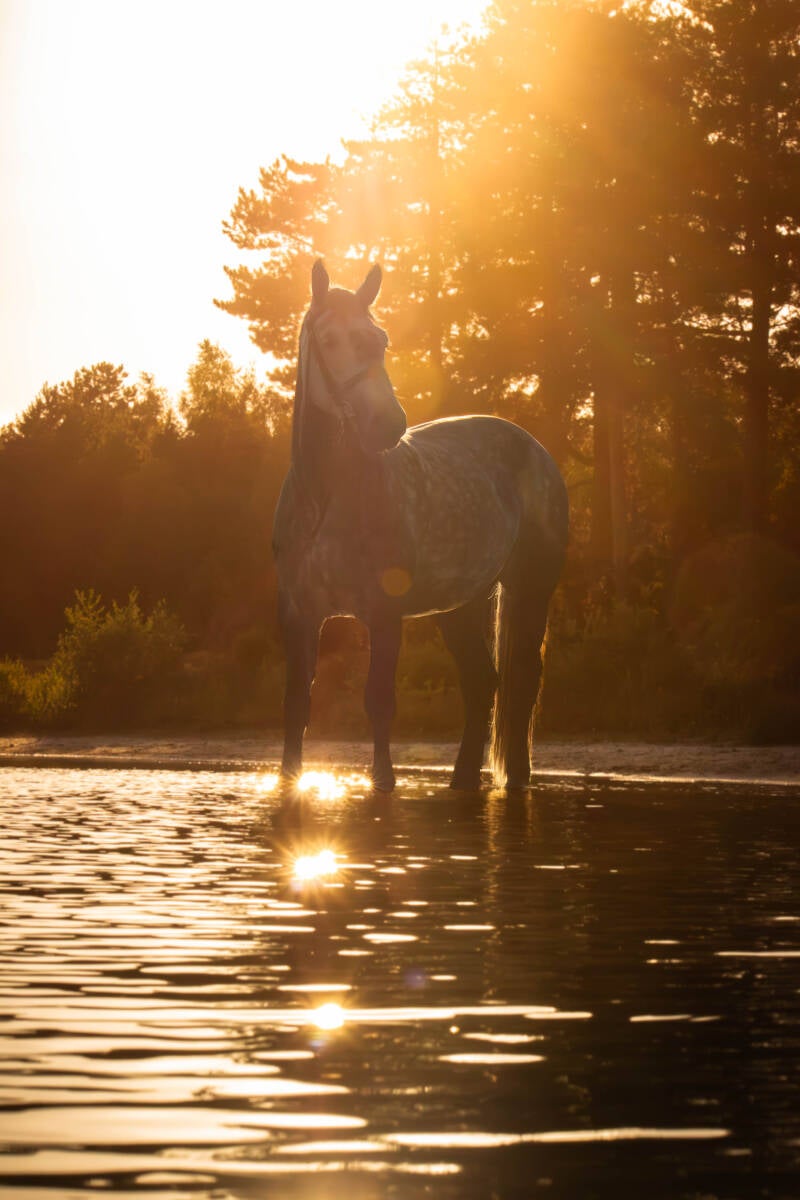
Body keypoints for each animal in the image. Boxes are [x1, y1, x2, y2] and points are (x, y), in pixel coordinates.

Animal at [273, 260, 568, 792]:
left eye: (381, 339)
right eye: (328, 340)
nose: (388, 425)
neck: (325, 499)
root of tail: (535, 449)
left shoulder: (383, 612)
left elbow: (378, 702)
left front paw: (384, 782)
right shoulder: (297, 612)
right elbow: (297, 704)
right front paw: (289, 781)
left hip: (531, 588)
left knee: (522, 679)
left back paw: (516, 776)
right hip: (460, 606)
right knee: (482, 682)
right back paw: (463, 778)